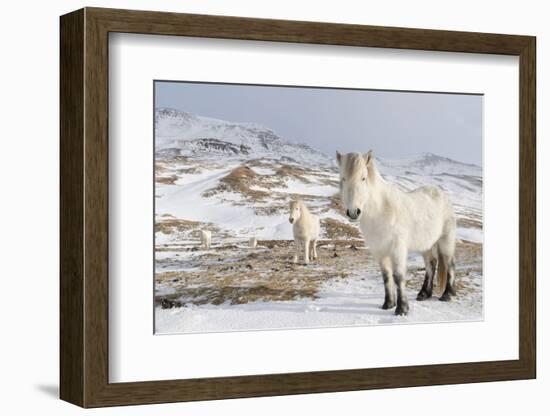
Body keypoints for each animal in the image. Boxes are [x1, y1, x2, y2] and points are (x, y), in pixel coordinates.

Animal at [338, 150, 460, 316]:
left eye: (363, 178)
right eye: (343, 178)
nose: (353, 212)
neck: (382, 211)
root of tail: (441, 193)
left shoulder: (397, 249)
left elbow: (398, 276)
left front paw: (402, 309)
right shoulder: (380, 251)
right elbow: (386, 276)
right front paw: (388, 304)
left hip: (445, 240)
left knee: (449, 263)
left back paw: (447, 294)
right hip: (426, 245)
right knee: (431, 264)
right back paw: (424, 294)